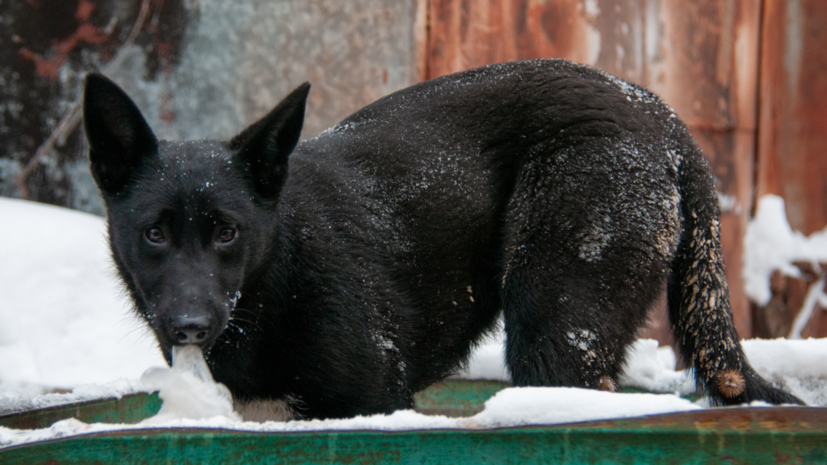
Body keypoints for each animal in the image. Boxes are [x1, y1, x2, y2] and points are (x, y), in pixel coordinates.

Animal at [84, 59, 804, 418]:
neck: (278, 273)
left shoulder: (373, 403)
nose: (188, 325)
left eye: (228, 232)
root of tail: (663, 119)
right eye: (154, 233)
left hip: (553, 320)